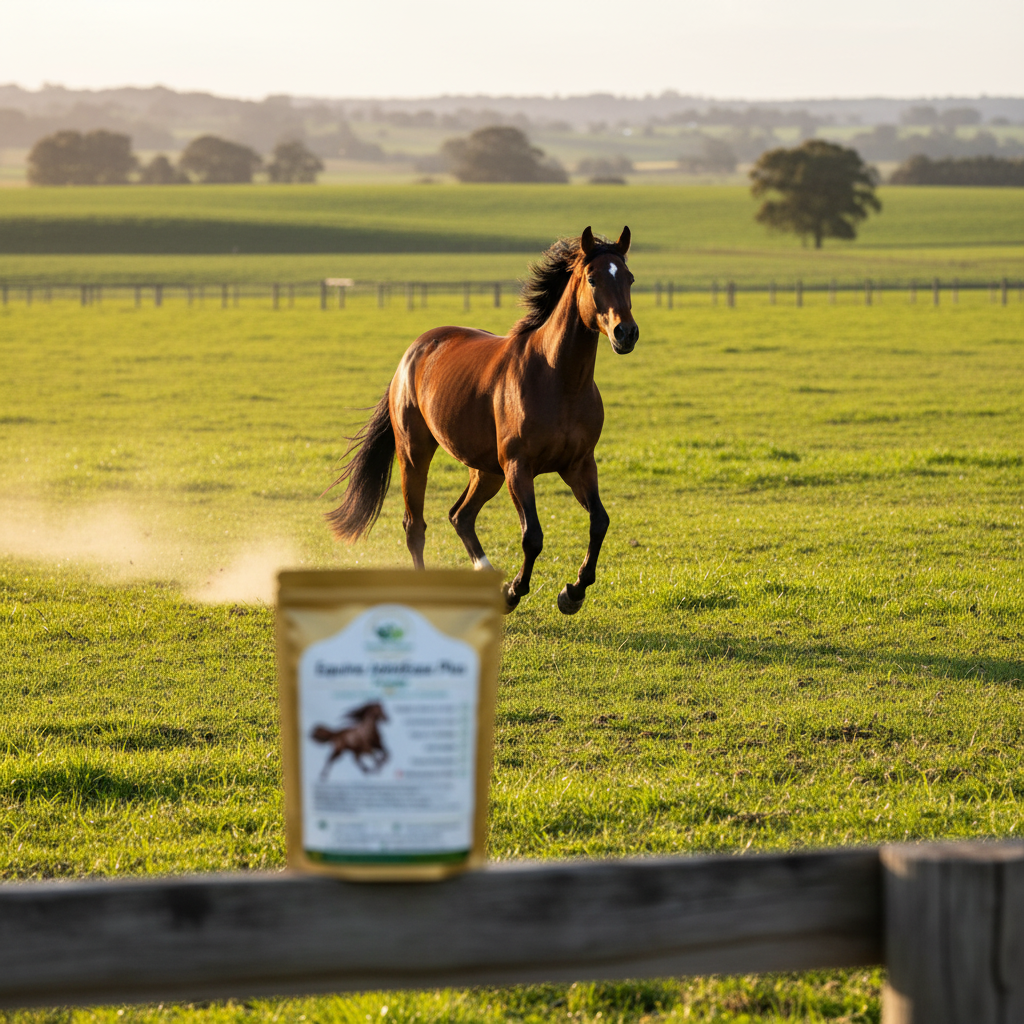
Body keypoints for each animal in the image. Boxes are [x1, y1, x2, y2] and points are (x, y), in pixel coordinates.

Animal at [325, 226, 638, 616]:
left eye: (629, 277)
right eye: (593, 278)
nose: (626, 333)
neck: (558, 378)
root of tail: (411, 354)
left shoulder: (579, 464)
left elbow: (599, 522)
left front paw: (573, 593)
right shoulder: (519, 466)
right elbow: (533, 536)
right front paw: (514, 591)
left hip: (487, 471)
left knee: (461, 515)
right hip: (415, 454)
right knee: (415, 526)